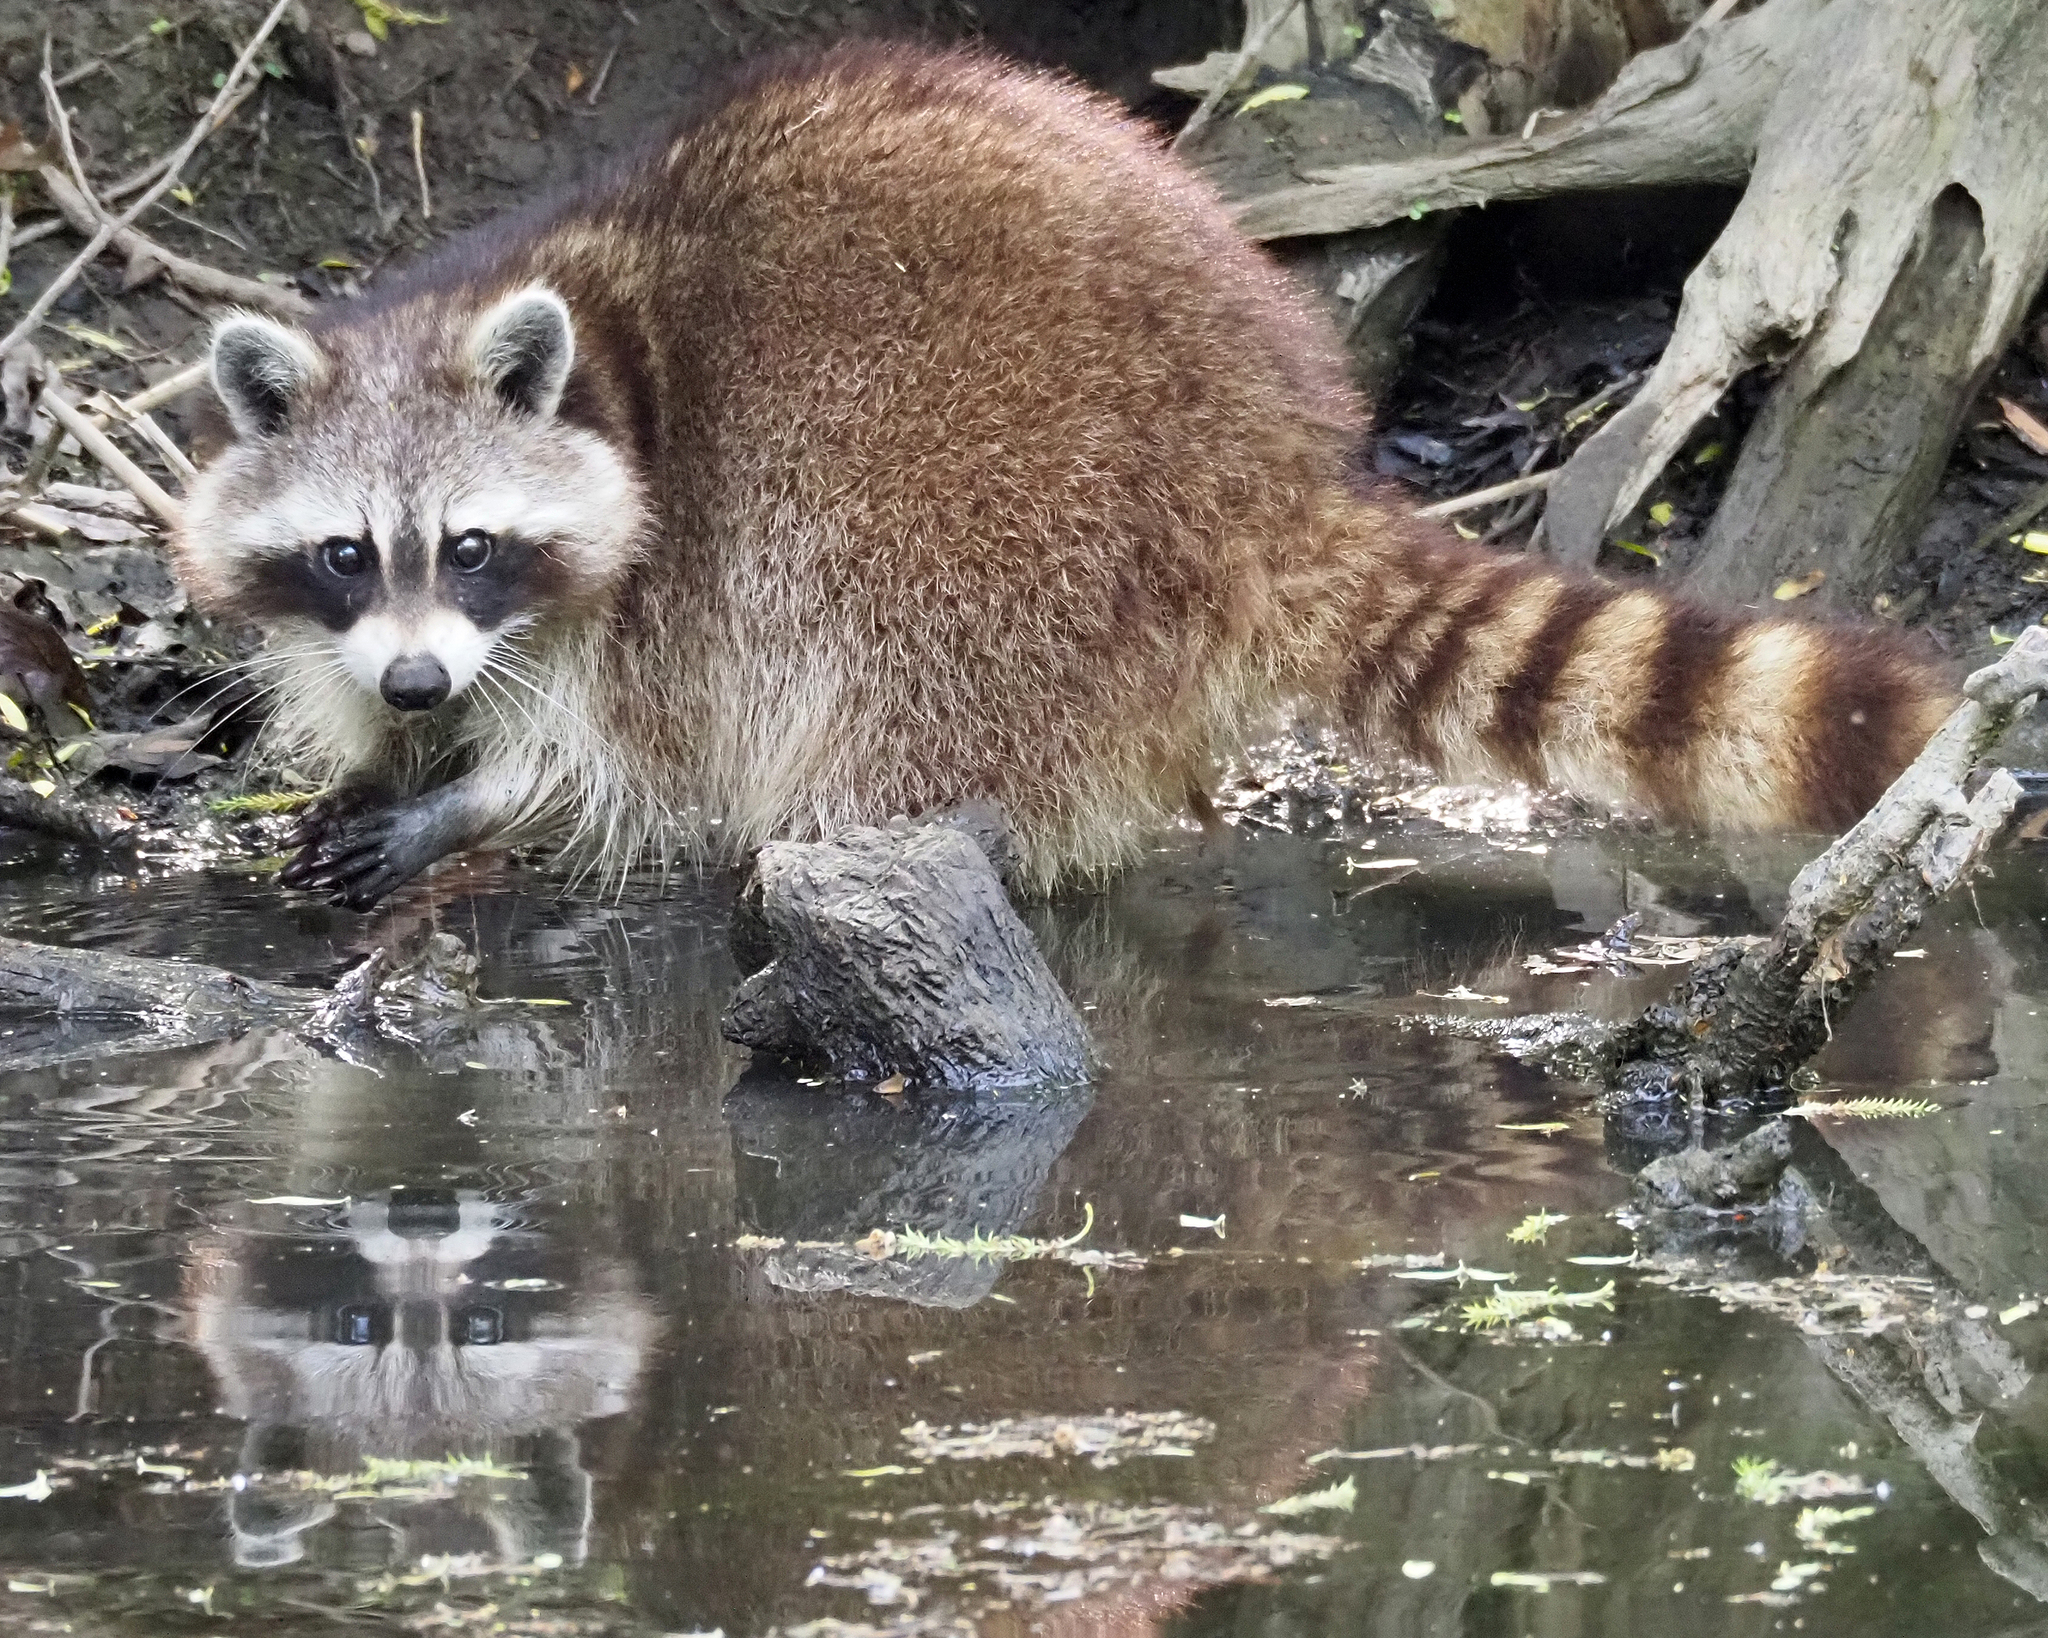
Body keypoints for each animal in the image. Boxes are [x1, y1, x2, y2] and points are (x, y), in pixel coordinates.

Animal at [176, 41, 1949, 909]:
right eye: (347, 554)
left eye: (473, 544)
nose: (415, 685)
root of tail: (1265, 454)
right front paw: (397, 760)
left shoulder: (670, 582)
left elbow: (632, 761)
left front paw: (479, 798)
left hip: (997, 511)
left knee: (877, 663)